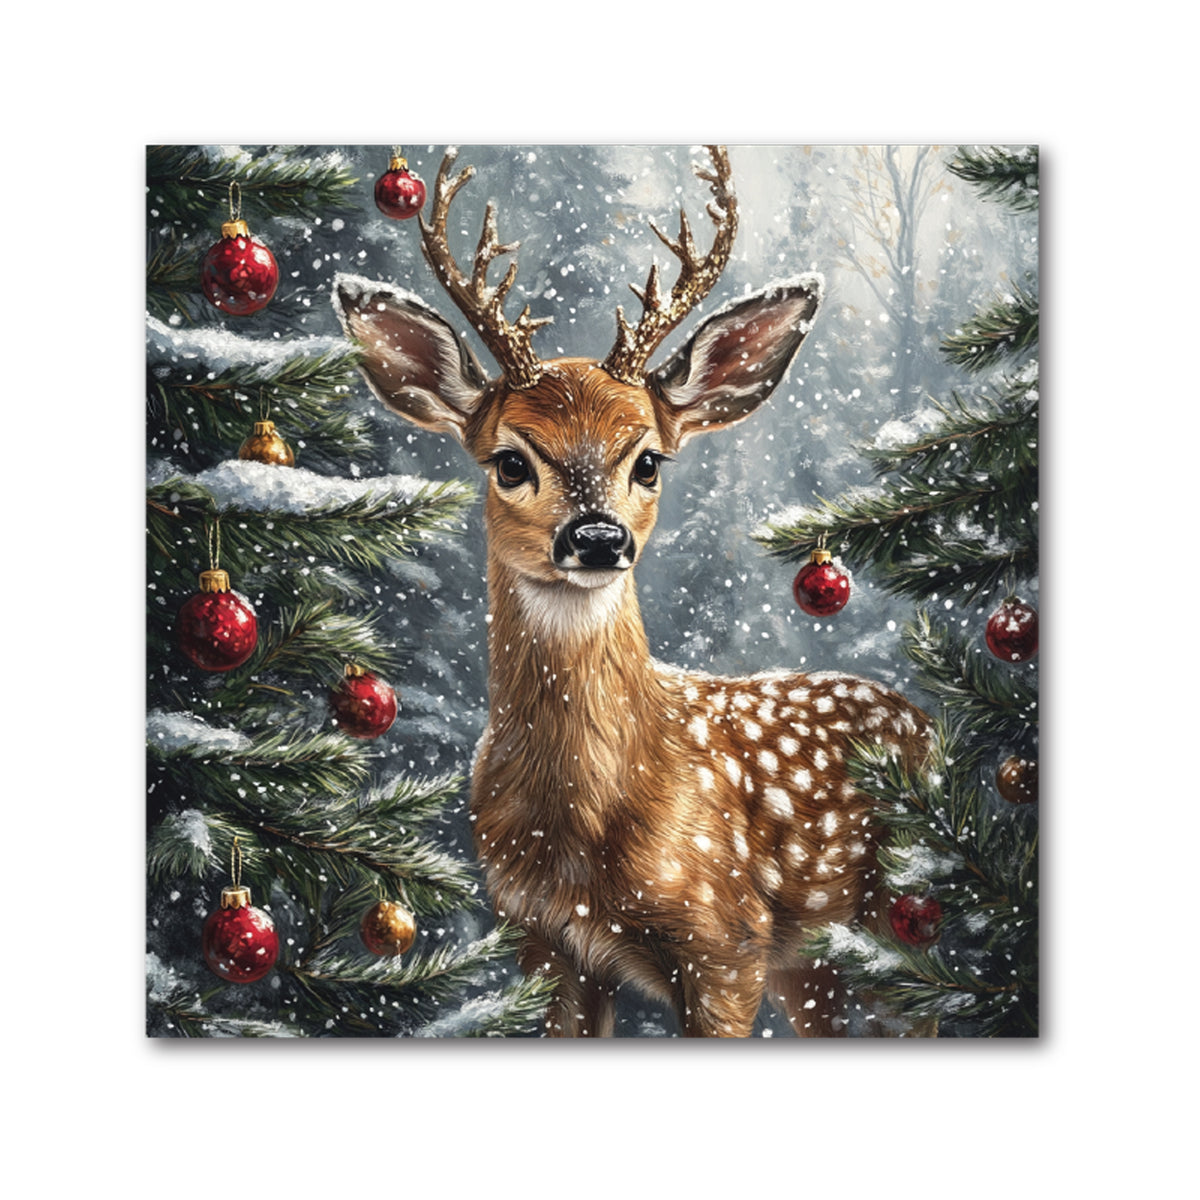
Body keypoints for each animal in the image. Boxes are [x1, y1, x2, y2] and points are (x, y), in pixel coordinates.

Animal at [333, 145, 933, 1037]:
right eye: (510, 460)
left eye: (647, 459)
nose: (598, 538)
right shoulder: (547, 946)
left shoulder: (726, 942)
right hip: (813, 964)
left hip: (902, 915)